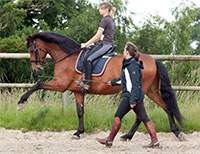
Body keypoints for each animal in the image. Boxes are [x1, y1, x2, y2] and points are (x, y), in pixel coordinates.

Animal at [18, 32, 184, 141]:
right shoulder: (77, 91)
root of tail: (153, 60)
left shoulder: (60, 85)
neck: (67, 57)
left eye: (31, 50)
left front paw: (21, 102)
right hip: (150, 90)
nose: (36, 70)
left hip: (140, 91)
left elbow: (38, 85)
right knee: (163, 108)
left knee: (144, 113)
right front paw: (79, 132)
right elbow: (80, 111)